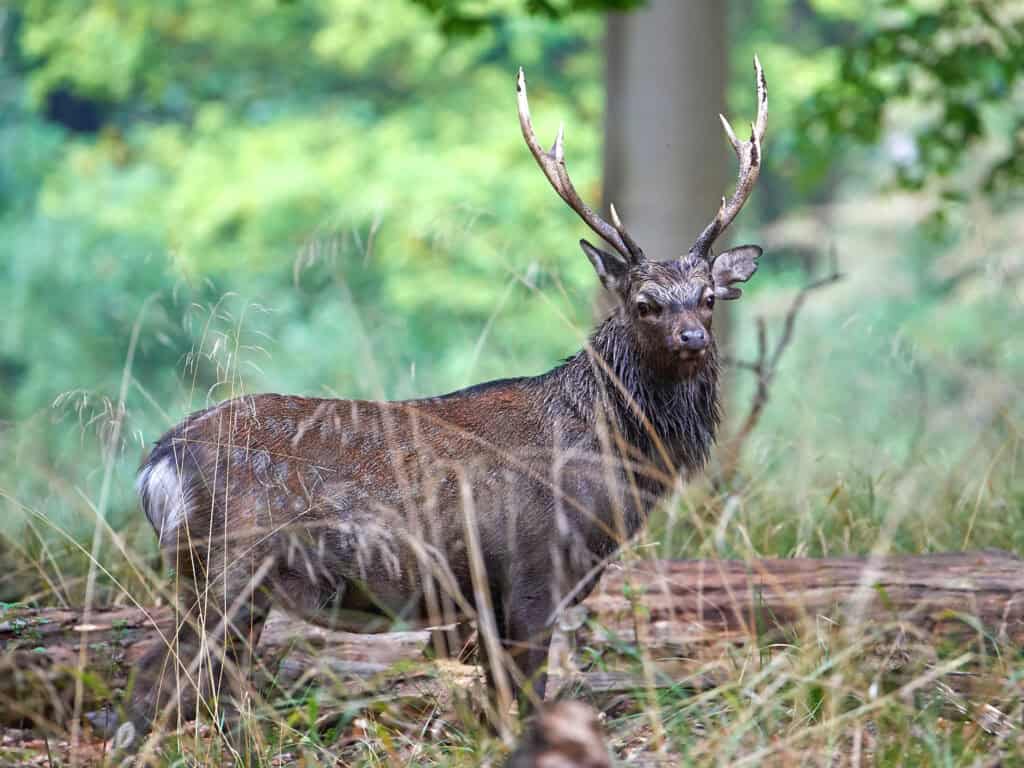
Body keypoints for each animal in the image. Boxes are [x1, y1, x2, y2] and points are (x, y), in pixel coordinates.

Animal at [119, 58, 770, 753]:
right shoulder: (530, 572)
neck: (609, 471)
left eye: (708, 298)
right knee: (158, 679)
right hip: (229, 569)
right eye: (645, 303)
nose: (693, 338)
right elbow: (526, 700)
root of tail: (156, 464)